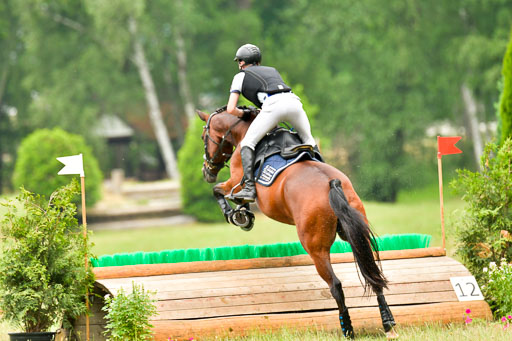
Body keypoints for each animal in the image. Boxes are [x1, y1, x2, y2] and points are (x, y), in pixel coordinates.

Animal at [196, 108, 396, 338]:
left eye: (203, 137)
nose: (206, 171)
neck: (243, 131)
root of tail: (332, 184)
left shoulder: (234, 182)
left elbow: (220, 191)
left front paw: (237, 216)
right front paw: (242, 214)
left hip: (315, 248)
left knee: (335, 285)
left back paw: (347, 329)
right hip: (356, 233)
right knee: (371, 271)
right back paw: (388, 323)